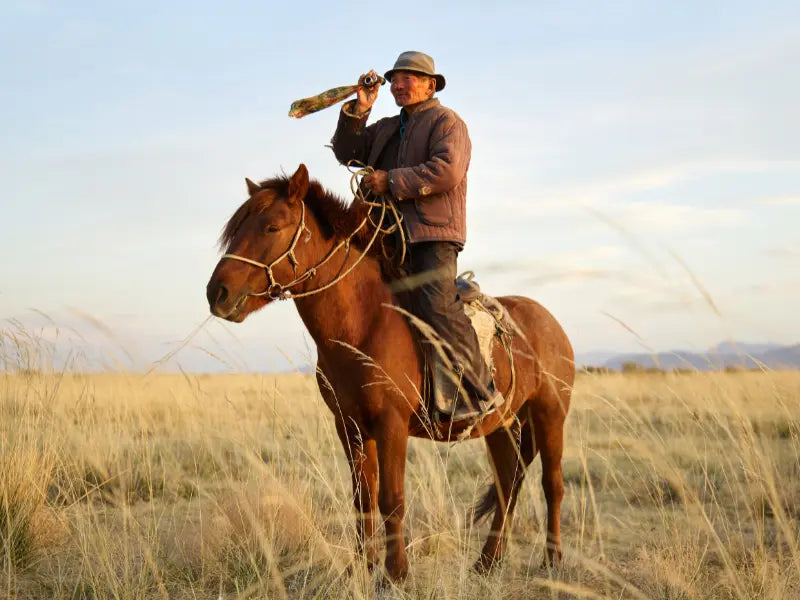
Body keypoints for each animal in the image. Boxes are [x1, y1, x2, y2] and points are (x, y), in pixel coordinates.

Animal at [206, 164, 574, 582]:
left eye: (272, 226)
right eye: (237, 228)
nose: (217, 293)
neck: (364, 321)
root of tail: (549, 322)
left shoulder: (391, 423)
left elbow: (391, 498)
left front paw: (395, 575)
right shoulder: (349, 425)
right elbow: (363, 497)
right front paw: (362, 569)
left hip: (550, 415)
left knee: (552, 485)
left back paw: (552, 561)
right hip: (502, 425)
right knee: (507, 483)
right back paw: (486, 562)